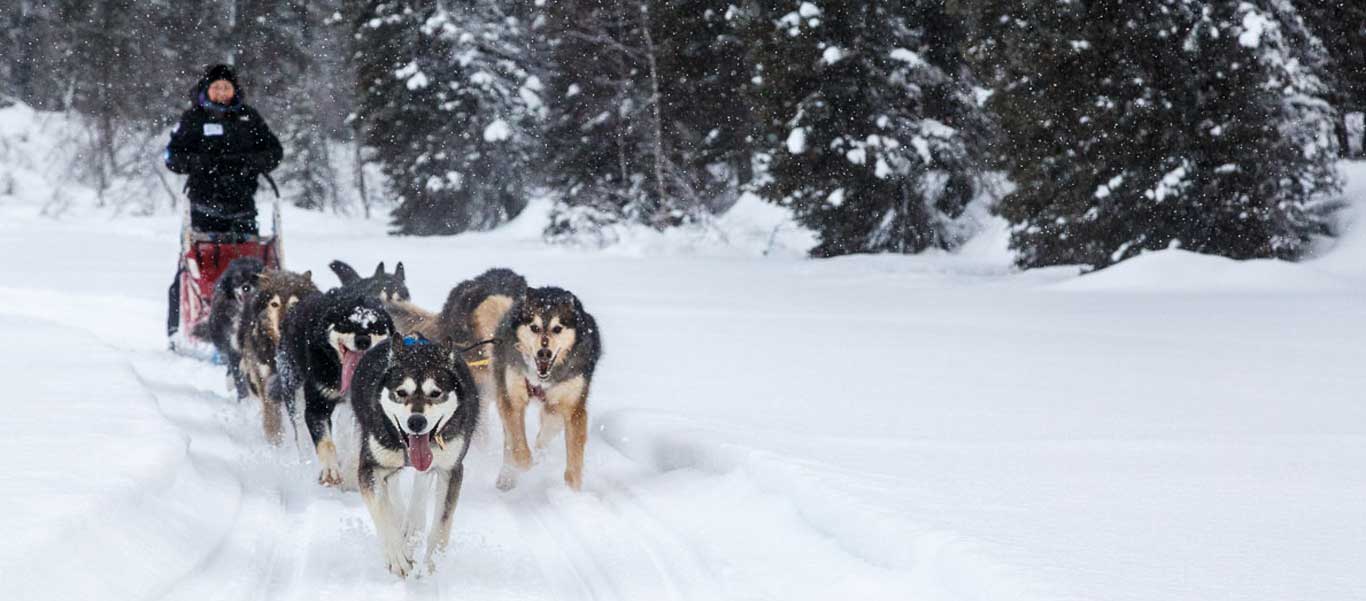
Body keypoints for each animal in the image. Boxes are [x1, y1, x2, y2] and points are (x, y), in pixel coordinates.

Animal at [277, 288, 396, 486]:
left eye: (375, 326)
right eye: (347, 323)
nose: (363, 340)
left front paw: (351, 475)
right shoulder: (317, 405)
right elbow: (325, 442)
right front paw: (330, 471)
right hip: (292, 385)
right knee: (299, 426)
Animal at [349, 336, 478, 576]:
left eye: (435, 393)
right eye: (401, 393)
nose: (416, 422)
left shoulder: (450, 469)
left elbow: (442, 523)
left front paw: (432, 564)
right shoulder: (369, 467)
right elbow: (382, 509)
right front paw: (398, 556)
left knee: (419, 486)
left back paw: (413, 526)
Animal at [489, 285, 601, 488]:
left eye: (557, 328)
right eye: (534, 327)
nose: (544, 352)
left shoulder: (573, 408)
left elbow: (574, 460)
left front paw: (572, 492)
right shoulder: (512, 398)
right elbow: (517, 441)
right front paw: (524, 464)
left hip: (555, 407)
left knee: (546, 430)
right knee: (509, 441)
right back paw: (508, 475)